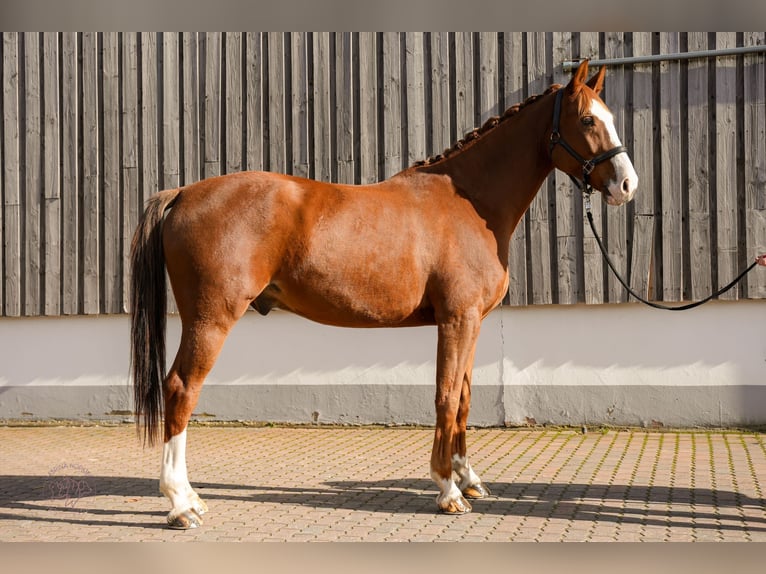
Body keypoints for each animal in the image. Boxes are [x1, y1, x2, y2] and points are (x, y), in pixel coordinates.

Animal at [130, 59, 636, 532]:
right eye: (587, 120)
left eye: (610, 116)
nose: (627, 185)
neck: (471, 201)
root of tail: (182, 193)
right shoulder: (457, 319)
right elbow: (445, 396)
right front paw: (448, 490)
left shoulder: (472, 322)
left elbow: (464, 398)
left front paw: (468, 477)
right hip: (211, 319)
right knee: (181, 390)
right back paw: (181, 504)